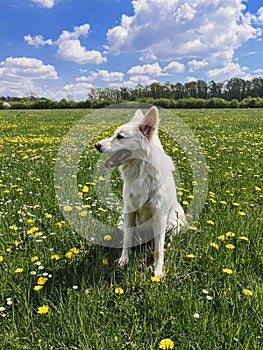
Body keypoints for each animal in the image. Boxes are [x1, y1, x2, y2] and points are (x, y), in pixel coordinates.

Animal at [95, 106, 186, 276]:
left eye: (120, 137)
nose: (96, 145)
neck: (141, 172)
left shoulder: (159, 215)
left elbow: (158, 249)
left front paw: (158, 272)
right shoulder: (129, 210)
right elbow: (127, 240)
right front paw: (124, 261)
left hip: (173, 218)